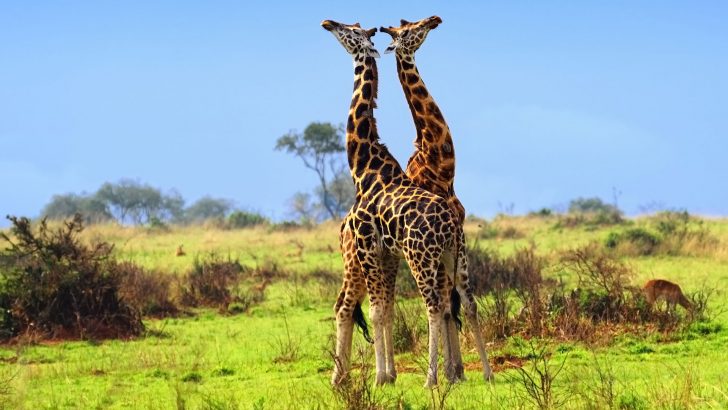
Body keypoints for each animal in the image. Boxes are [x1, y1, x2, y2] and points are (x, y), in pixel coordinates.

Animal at [322, 20, 460, 388]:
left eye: (350, 32)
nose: (328, 23)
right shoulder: (383, 252)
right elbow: (384, 309)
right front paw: (388, 374)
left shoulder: (372, 248)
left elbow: (379, 310)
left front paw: (382, 376)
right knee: (345, 304)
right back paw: (341, 377)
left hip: (402, 257)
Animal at [382, 15, 494, 382]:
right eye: (409, 30)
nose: (434, 18)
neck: (442, 167)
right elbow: (446, 304)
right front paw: (451, 370)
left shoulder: (457, 234)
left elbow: (456, 302)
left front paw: (458, 370)